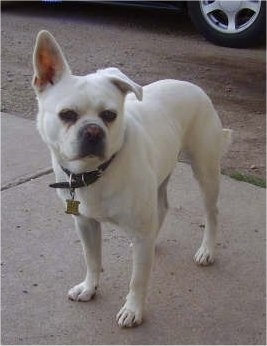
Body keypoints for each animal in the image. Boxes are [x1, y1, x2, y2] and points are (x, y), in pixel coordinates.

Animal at [31, 29, 232, 328]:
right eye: (67, 115)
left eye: (109, 115)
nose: (93, 131)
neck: (95, 171)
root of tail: (191, 84)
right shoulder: (86, 224)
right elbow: (92, 259)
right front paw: (89, 287)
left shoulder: (136, 232)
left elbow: (138, 279)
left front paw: (133, 309)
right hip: (161, 176)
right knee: (161, 209)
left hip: (205, 171)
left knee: (211, 212)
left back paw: (207, 250)